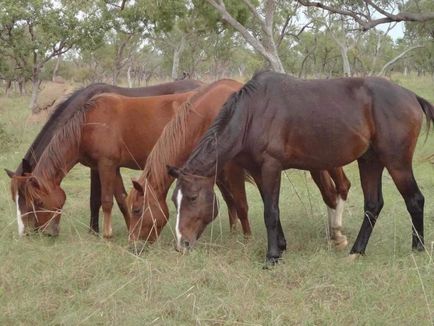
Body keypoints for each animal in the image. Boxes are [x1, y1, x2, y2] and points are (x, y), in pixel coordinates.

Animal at [5, 80, 203, 236]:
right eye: (15, 199)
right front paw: (128, 228)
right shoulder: (109, 167)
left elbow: (101, 199)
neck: (86, 123)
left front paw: (100, 232)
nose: (28, 232)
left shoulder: (104, 165)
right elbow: (120, 199)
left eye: (36, 201)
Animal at [128, 78, 350, 250]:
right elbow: (232, 202)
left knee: (339, 189)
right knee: (332, 193)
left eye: (137, 210)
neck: (212, 114)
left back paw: (338, 235)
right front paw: (235, 233)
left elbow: (242, 204)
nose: (134, 245)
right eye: (174, 201)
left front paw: (247, 239)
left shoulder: (234, 169)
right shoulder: (218, 172)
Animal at [168, 70, 432, 264]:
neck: (253, 112)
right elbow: (271, 208)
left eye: (192, 197)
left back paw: (417, 248)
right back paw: (356, 251)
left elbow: (270, 212)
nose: (181, 244)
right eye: (174, 200)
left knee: (415, 200)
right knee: (373, 205)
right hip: (370, 161)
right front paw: (281, 246)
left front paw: (272, 257)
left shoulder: (271, 166)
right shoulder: (259, 171)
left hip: (396, 162)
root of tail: (411, 96)